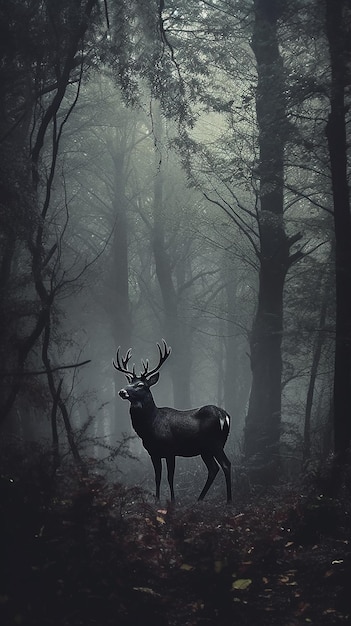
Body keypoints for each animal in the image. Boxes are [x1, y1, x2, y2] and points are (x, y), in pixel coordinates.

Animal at [114, 338, 232, 500]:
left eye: (140, 384)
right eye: (129, 382)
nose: (122, 391)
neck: (150, 426)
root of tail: (224, 415)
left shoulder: (170, 450)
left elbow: (170, 477)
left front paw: (173, 501)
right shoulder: (153, 452)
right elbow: (157, 477)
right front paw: (157, 501)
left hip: (215, 443)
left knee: (226, 465)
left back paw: (228, 501)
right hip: (206, 448)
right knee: (213, 468)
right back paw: (199, 500)